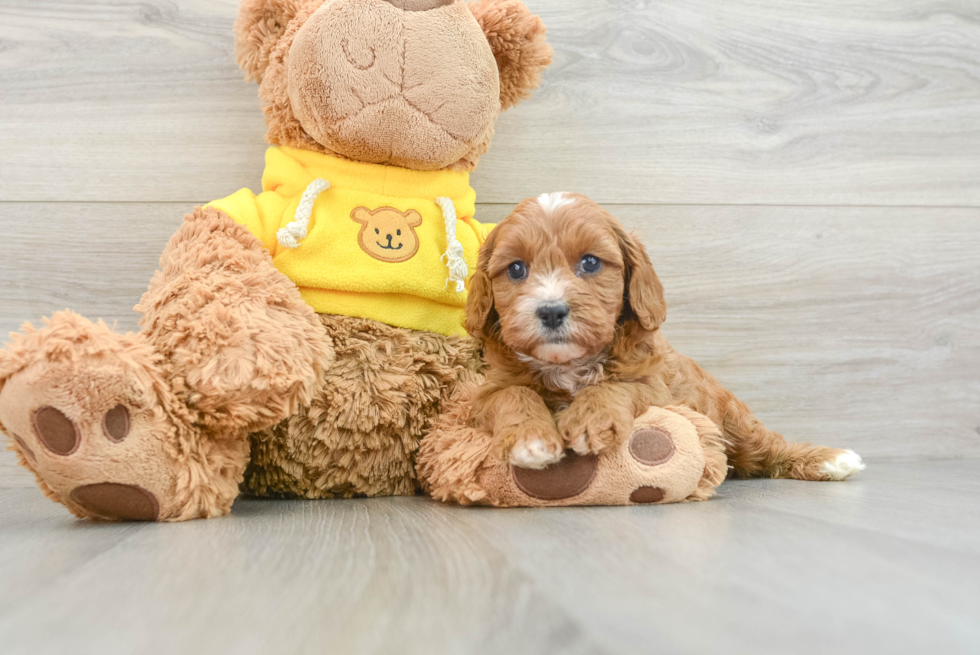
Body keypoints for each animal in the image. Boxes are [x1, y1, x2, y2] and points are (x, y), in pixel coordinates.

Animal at [468, 193, 864, 482]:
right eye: (516, 269)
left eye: (591, 262)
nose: (551, 311)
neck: (568, 364)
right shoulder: (485, 393)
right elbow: (513, 394)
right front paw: (530, 440)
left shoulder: (655, 385)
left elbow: (615, 385)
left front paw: (590, 420)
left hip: (735, 420)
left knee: (769, 448)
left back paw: (831, 460)